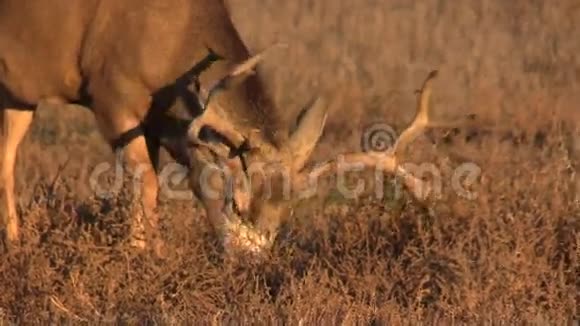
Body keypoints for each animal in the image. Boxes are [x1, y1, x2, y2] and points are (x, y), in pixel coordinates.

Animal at [0, 0, 446, 260]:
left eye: (286, 214)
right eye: (236, 201)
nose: (252, 263)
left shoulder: (158, 119)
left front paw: (155, 254)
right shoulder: (112, 96)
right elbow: (146, 183)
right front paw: (142, 260)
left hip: (17, 94)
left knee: (6, 158)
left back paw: (15, 244)